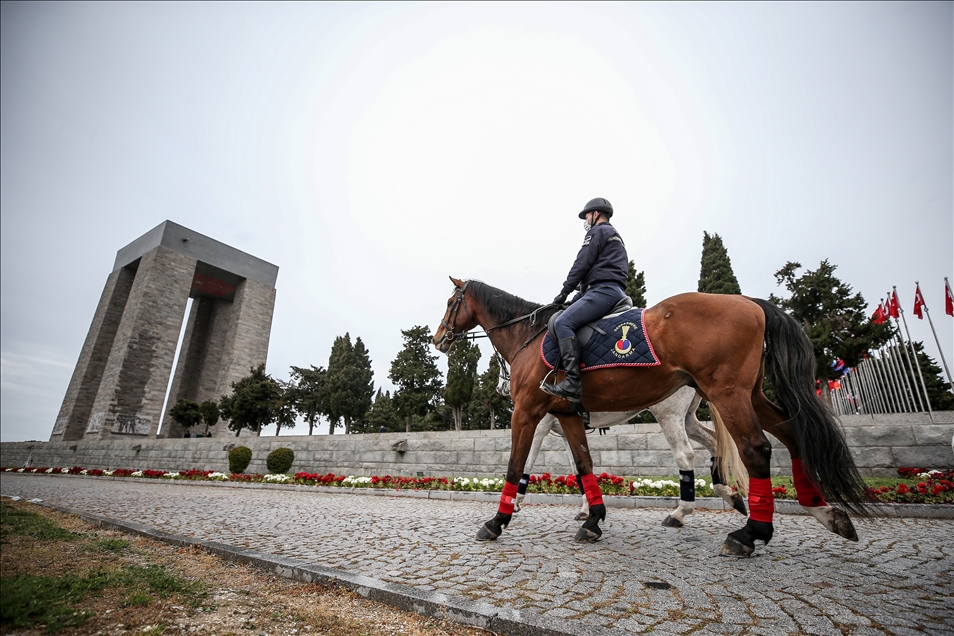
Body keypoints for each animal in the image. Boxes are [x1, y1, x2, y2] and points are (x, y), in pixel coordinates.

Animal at [432, 278, 872, 556]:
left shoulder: (531, 415)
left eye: (451, 303)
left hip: (713, 398)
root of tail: (747, 301)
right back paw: (816, 511)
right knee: (784, 435)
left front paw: (501, 518)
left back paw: (742, 530)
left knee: (744, 449)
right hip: (745, 396)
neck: (532, 336)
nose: (438, 339)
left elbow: (518, 464)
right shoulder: (567, 416)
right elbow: (583, 465)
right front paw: (592, 517)